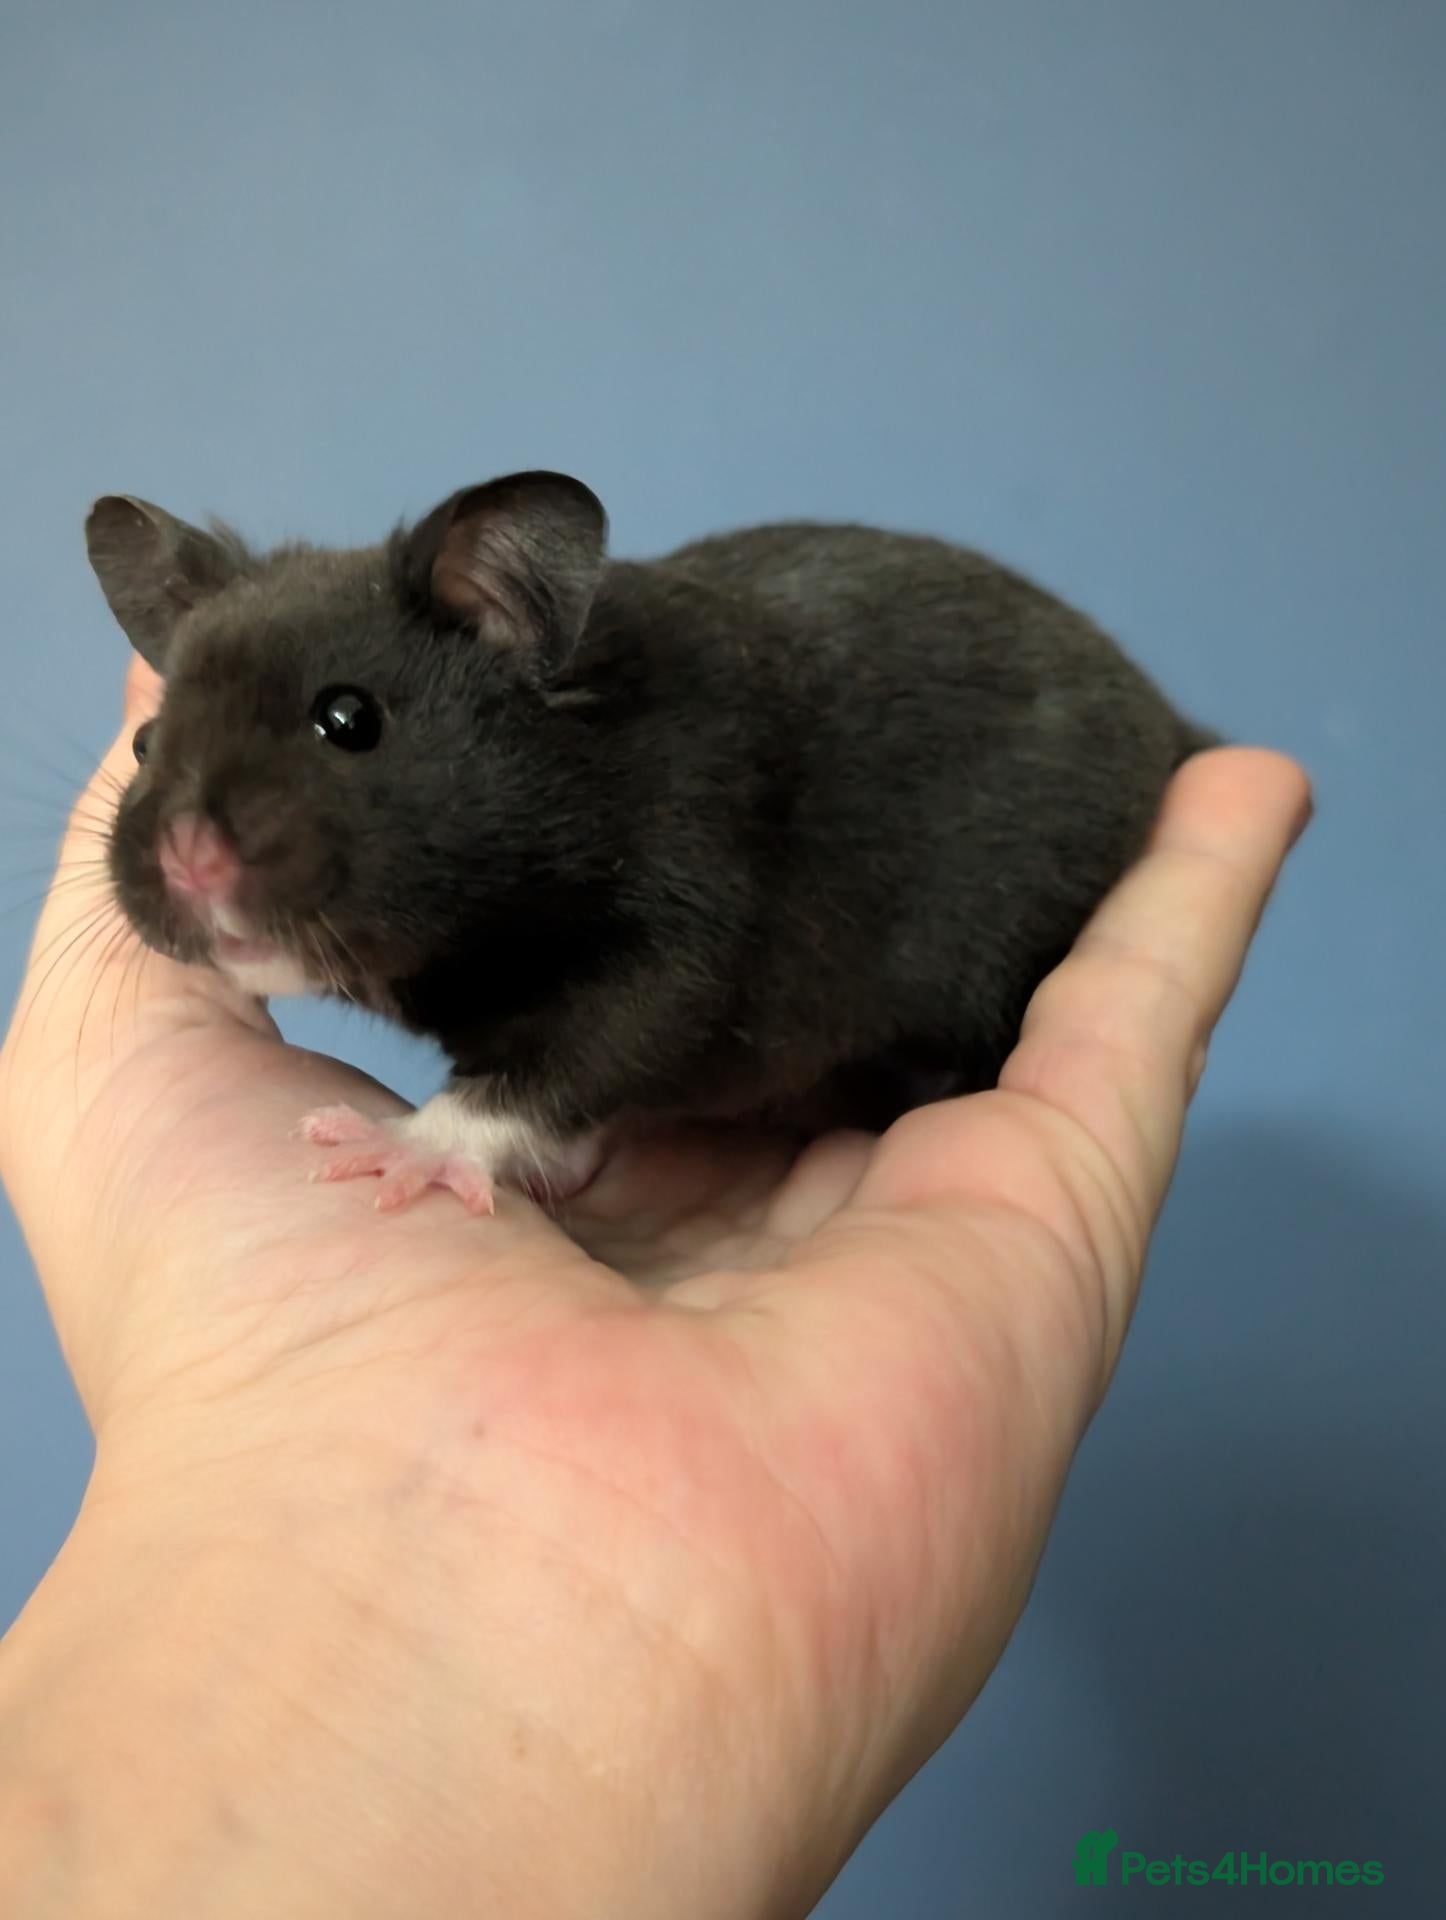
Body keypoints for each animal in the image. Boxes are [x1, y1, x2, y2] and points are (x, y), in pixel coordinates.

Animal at [87, 469, 1212, 1215]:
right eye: (147, 742)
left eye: (349, 719)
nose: (187, 857)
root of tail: (1166, 720)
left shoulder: (686, 934)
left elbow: (560, 1064)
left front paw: (386, 1149)